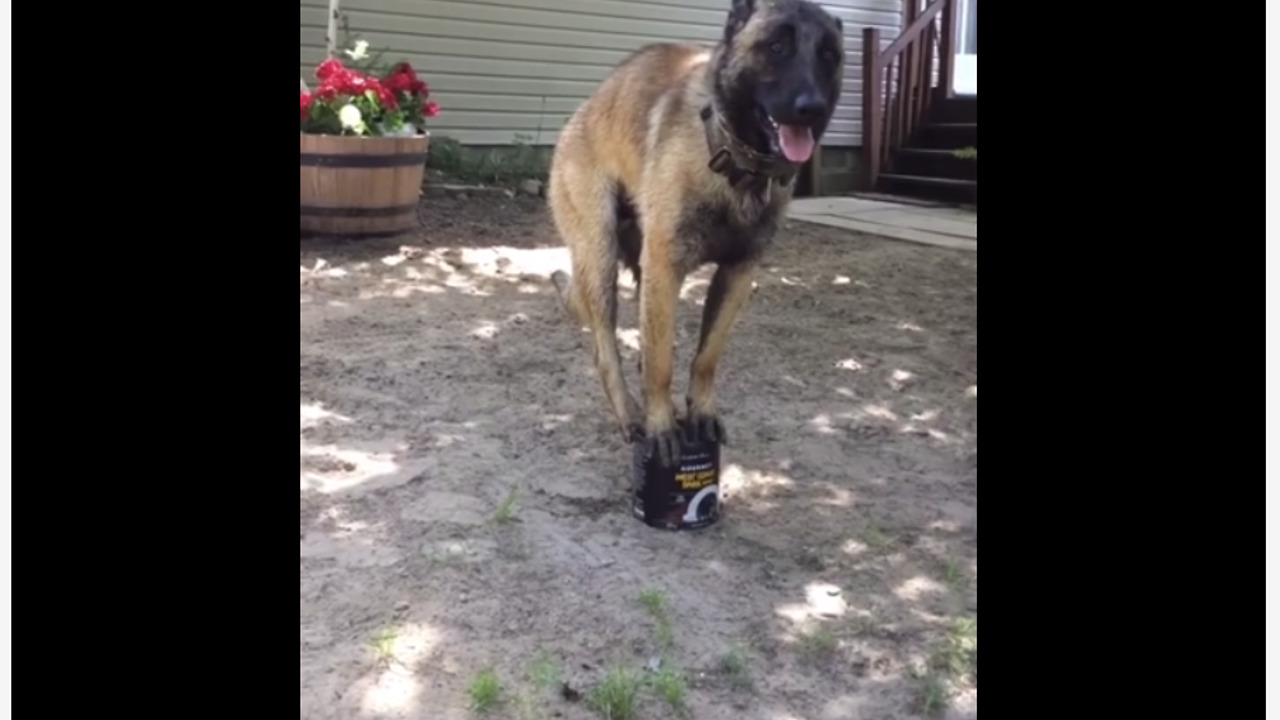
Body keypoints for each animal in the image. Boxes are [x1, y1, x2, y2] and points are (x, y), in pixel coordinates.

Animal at [545, 0, 844, 466]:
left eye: (830, 56)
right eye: (776, 47)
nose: (810, 108)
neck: (736, 166)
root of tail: (582, 112)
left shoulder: (736, 274)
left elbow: (707, 355)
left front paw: (700, 412)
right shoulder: (666, 268)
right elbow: (661, 362)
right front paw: (661, 426)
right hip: (600, 260)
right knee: (606, 350)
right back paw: (631, 414)